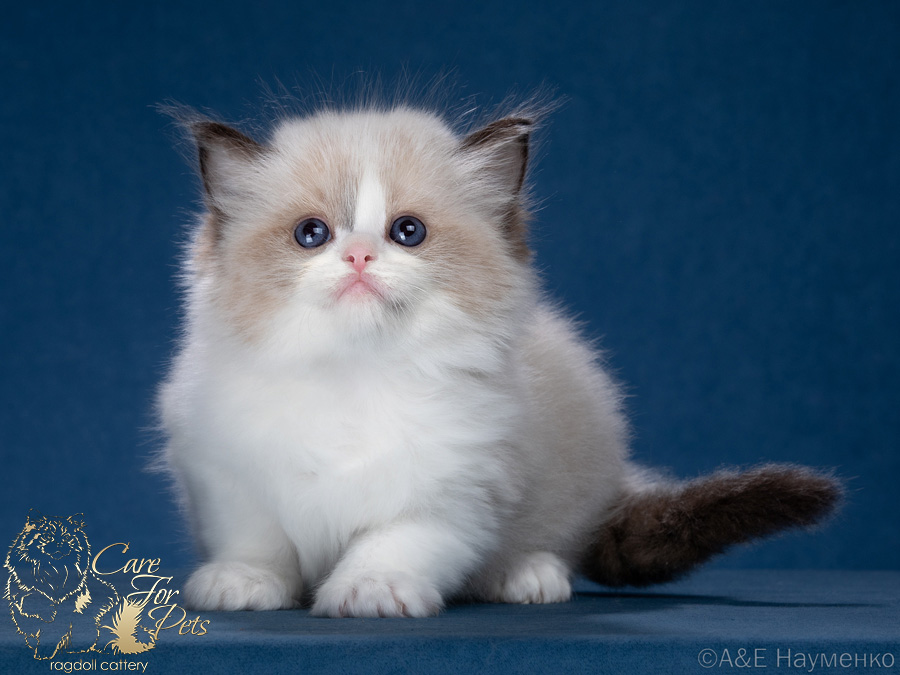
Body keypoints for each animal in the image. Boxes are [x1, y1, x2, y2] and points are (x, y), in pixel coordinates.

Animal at [158, 101, 840, 616]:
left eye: (407, 232)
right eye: (312, 234)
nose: (358, 256)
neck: (355, 374)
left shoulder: (456, 492)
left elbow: (393, 543)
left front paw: (367, 591)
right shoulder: (226, 475)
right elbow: (258, 539)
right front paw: (243, 583)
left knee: (552, 544)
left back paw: (525, 577)